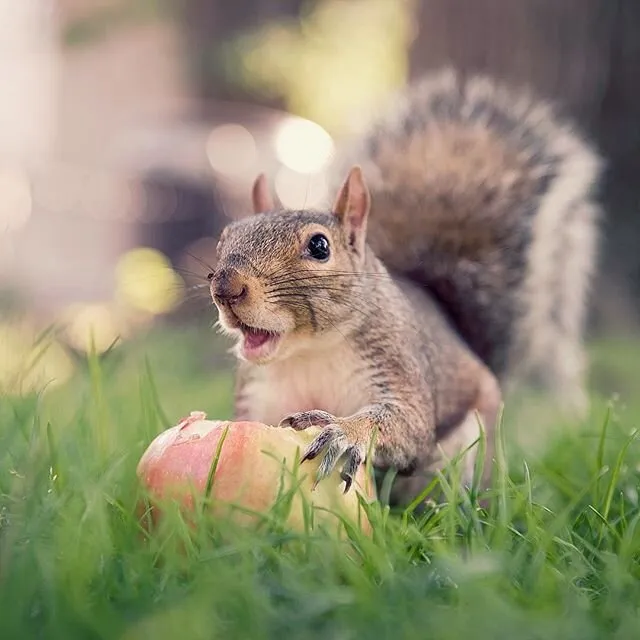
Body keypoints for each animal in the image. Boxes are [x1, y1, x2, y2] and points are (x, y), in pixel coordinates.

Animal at [208, 69, 602, 504]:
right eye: (223, 238)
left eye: (319, 246)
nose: (226, 287)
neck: (310, 351)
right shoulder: (259, 395)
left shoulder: (398, 364)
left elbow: (408, 424)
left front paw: (344, 432)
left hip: (469, 449)